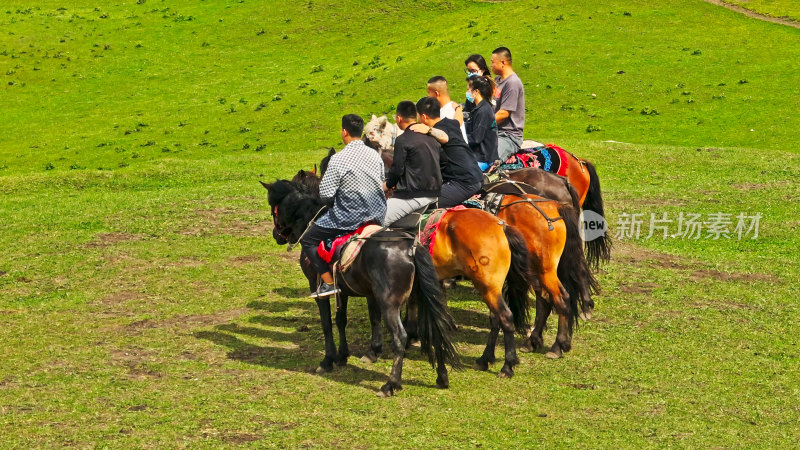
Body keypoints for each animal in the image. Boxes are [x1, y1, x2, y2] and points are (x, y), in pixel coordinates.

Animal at [262, 179, 462, 398]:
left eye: (274, 211)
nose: (276, 235)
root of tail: (411, 248)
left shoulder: (318, 290)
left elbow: (327, 324)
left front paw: (328, 360)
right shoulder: (344, 291)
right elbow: (343, 320)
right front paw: (345, 355)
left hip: (390, 304)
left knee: (400, 337)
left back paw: (391, 384)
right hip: (422, 297)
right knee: (435, 330)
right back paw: (442, 377)